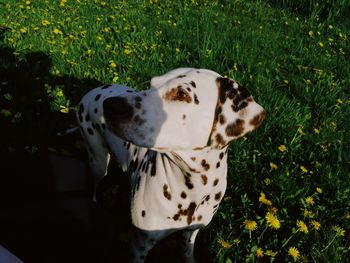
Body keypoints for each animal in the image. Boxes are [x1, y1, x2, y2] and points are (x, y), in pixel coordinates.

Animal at [75, 67, 264, 262]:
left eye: (182, 93)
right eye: (151, 84)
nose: (111, 106)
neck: (192, 188)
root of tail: (95, 90)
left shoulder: (190, 235)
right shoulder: (139, 246)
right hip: (98, 161)